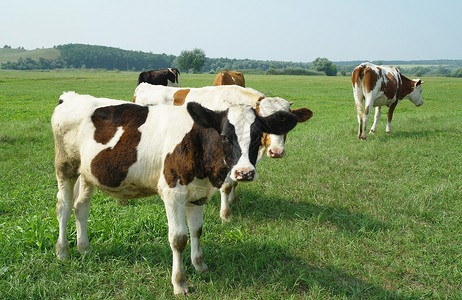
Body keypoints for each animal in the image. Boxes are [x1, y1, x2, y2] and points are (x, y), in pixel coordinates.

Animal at [52, 91, 298, 296]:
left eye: (257, 136)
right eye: (225, 136)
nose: (244, 172)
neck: (197, 144)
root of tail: (70, 96)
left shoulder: (198, 194)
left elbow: (197, 231)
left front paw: (200, 265)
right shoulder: (173, 194)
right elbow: (179, 238)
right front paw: (180, 283)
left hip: (88, 173)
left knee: (81, 207)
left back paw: (84, 248)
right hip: (65, 166)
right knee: (64, 207)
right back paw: (62, 252)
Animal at [134, 83, 314, 219]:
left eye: (286, 123)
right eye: (265, 120)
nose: (276, 151)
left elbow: (234, 181)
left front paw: (233, 200)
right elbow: (226, 186)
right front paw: (225, 214)